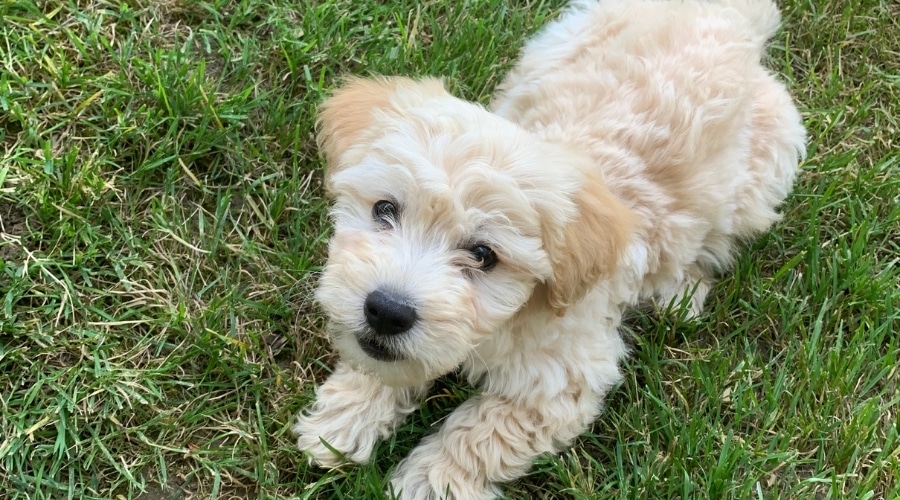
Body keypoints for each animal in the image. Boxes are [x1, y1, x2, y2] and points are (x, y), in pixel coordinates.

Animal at [292, 0, 804, 498]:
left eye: (483, 255)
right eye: (384, 209)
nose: (387, 311)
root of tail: (729, 16)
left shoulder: (562, 380)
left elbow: (482, 434)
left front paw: (430, 482)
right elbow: (379, 364)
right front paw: (344, 418)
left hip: (766, 168)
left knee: (719, 239)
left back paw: (683, 292)